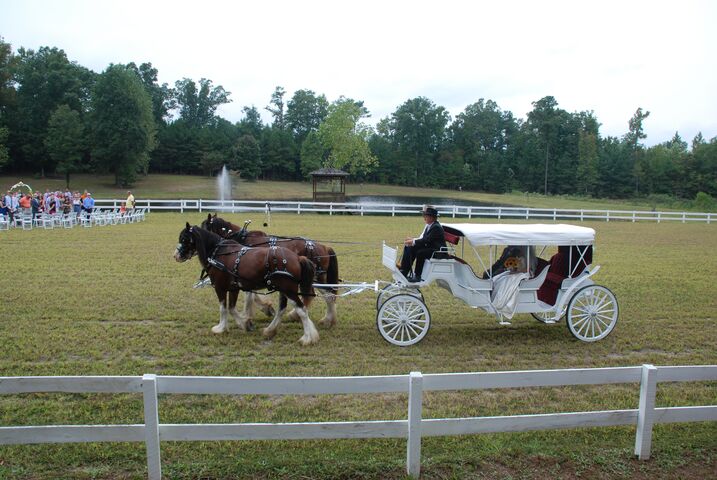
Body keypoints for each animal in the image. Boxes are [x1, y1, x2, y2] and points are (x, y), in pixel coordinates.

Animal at [173, 224, 318, 344]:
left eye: (184, 239)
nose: (175, 256)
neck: (219, 253)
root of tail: (297, 258)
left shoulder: (220, 288)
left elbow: (223, 308)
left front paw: (221, 328)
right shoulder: (234, 288)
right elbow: (231, 308)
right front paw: (245, 324)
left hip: (289, 290)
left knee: (301, 309)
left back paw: (307, 338)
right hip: (283, 289)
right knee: (282, 309)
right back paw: (270, 330)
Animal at [199, 216, 338, 328]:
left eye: (204, 227)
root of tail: (324, 247)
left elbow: (250, 295)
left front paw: (250, 313)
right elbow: (251, 294)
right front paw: (264, 309)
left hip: (316, 278)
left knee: (327, 295)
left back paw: (325, 320)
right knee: (318, 295)